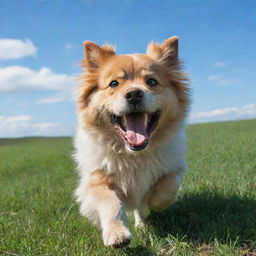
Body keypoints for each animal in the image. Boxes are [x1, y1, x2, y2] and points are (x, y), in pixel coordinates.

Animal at [74, 36, 190, 248]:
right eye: (113, 83)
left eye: (151, 81)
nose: (134, 93)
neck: (134, 155)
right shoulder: (96, 181)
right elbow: (110, 203)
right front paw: (117, 233)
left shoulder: (174, 167)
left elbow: (168, 187)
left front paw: (153, 201)